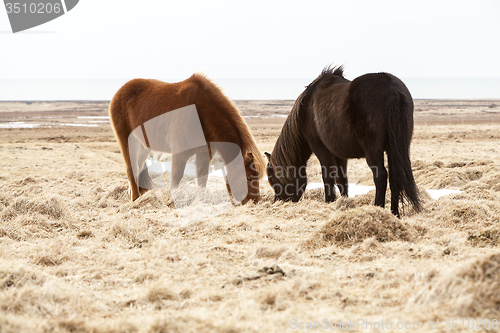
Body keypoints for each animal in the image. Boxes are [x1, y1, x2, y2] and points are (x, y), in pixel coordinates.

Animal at [109, 74, 266, 202]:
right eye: (248, 177)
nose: (255, 202)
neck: (201, 111)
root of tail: (120, 91)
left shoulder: (204, 153)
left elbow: (202, 178)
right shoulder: (180, 154)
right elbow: (176, 179)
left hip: (142, 146)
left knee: (138, 168)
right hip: (129, 143)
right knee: (131, 169)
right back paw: (135, 200)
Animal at [266, 65, 422, 215]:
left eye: (274, 180)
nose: (278, 201)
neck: (305, 109)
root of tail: (392, 89)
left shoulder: (321, 149)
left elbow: (328, 177)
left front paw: (329, 201)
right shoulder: (340, 155)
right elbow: (342, 180)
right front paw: (343, 201)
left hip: (373, 150)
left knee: (381, 176)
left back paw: (378, 207)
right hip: (397, 148)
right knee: (396, 177)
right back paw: (395, 213)